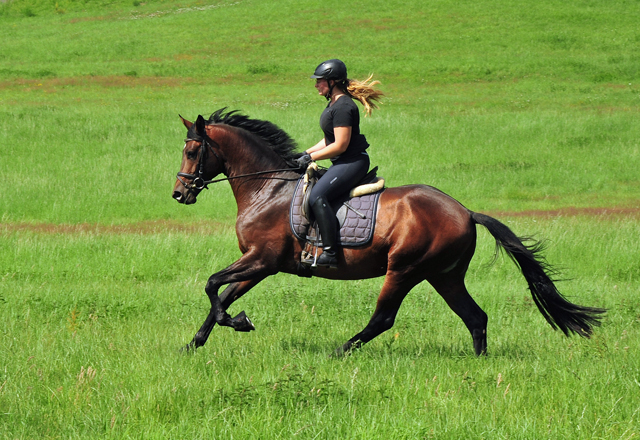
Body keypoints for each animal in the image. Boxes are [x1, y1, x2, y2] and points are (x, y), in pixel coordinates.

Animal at [172, 108, 604, 356]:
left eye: (192, 152)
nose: (179, 193)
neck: (268, 188)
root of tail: (465, 211)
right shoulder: (260, 264)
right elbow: (223, 294)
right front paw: (194, 344)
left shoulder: (261, 259)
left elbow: (213, 286)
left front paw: (238, 322)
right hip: (444, 275)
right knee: (475, 317)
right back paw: (479, 362)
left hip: (405, 270)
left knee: (383, 318)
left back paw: (341, 351)